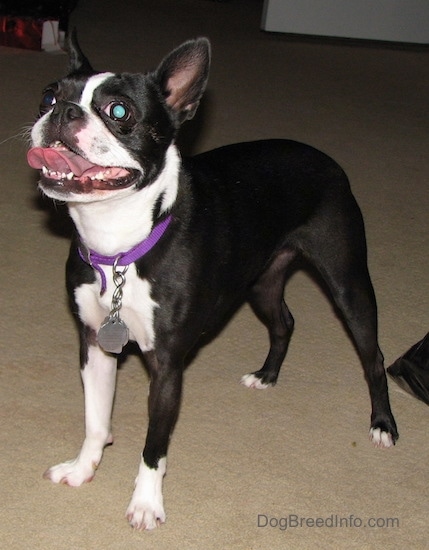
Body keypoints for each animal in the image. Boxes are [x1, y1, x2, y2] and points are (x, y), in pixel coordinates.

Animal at [26, 33, 396, 532]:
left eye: (119, 111)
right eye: (48, 97)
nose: (63, 111)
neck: (121, 246)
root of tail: (324, 158)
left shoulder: (167, 364)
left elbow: (154, 445)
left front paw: (146, 503)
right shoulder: (94, 343)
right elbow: (96, 421)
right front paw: (83, 469)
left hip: (347, 282)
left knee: (372, 356)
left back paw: (382, 424)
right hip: (261, 282)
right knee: (285, 322)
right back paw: (267, 375)